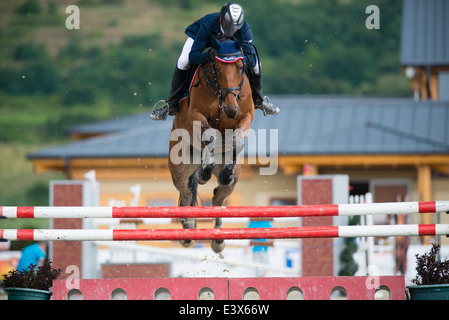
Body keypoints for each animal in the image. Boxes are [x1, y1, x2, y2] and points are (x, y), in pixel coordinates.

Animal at [168, 40, 254, 254]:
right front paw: (204, 172)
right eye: (217, 68)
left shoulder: (246, 116)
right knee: (186, 193)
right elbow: (211, 134)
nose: (231, 109)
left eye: (241, 68)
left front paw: (223, 172)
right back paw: (188, 230)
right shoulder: (194, 115)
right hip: (179, 170)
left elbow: (237, 140)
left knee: (217, 198)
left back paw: (218, 239)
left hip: (234, 180)